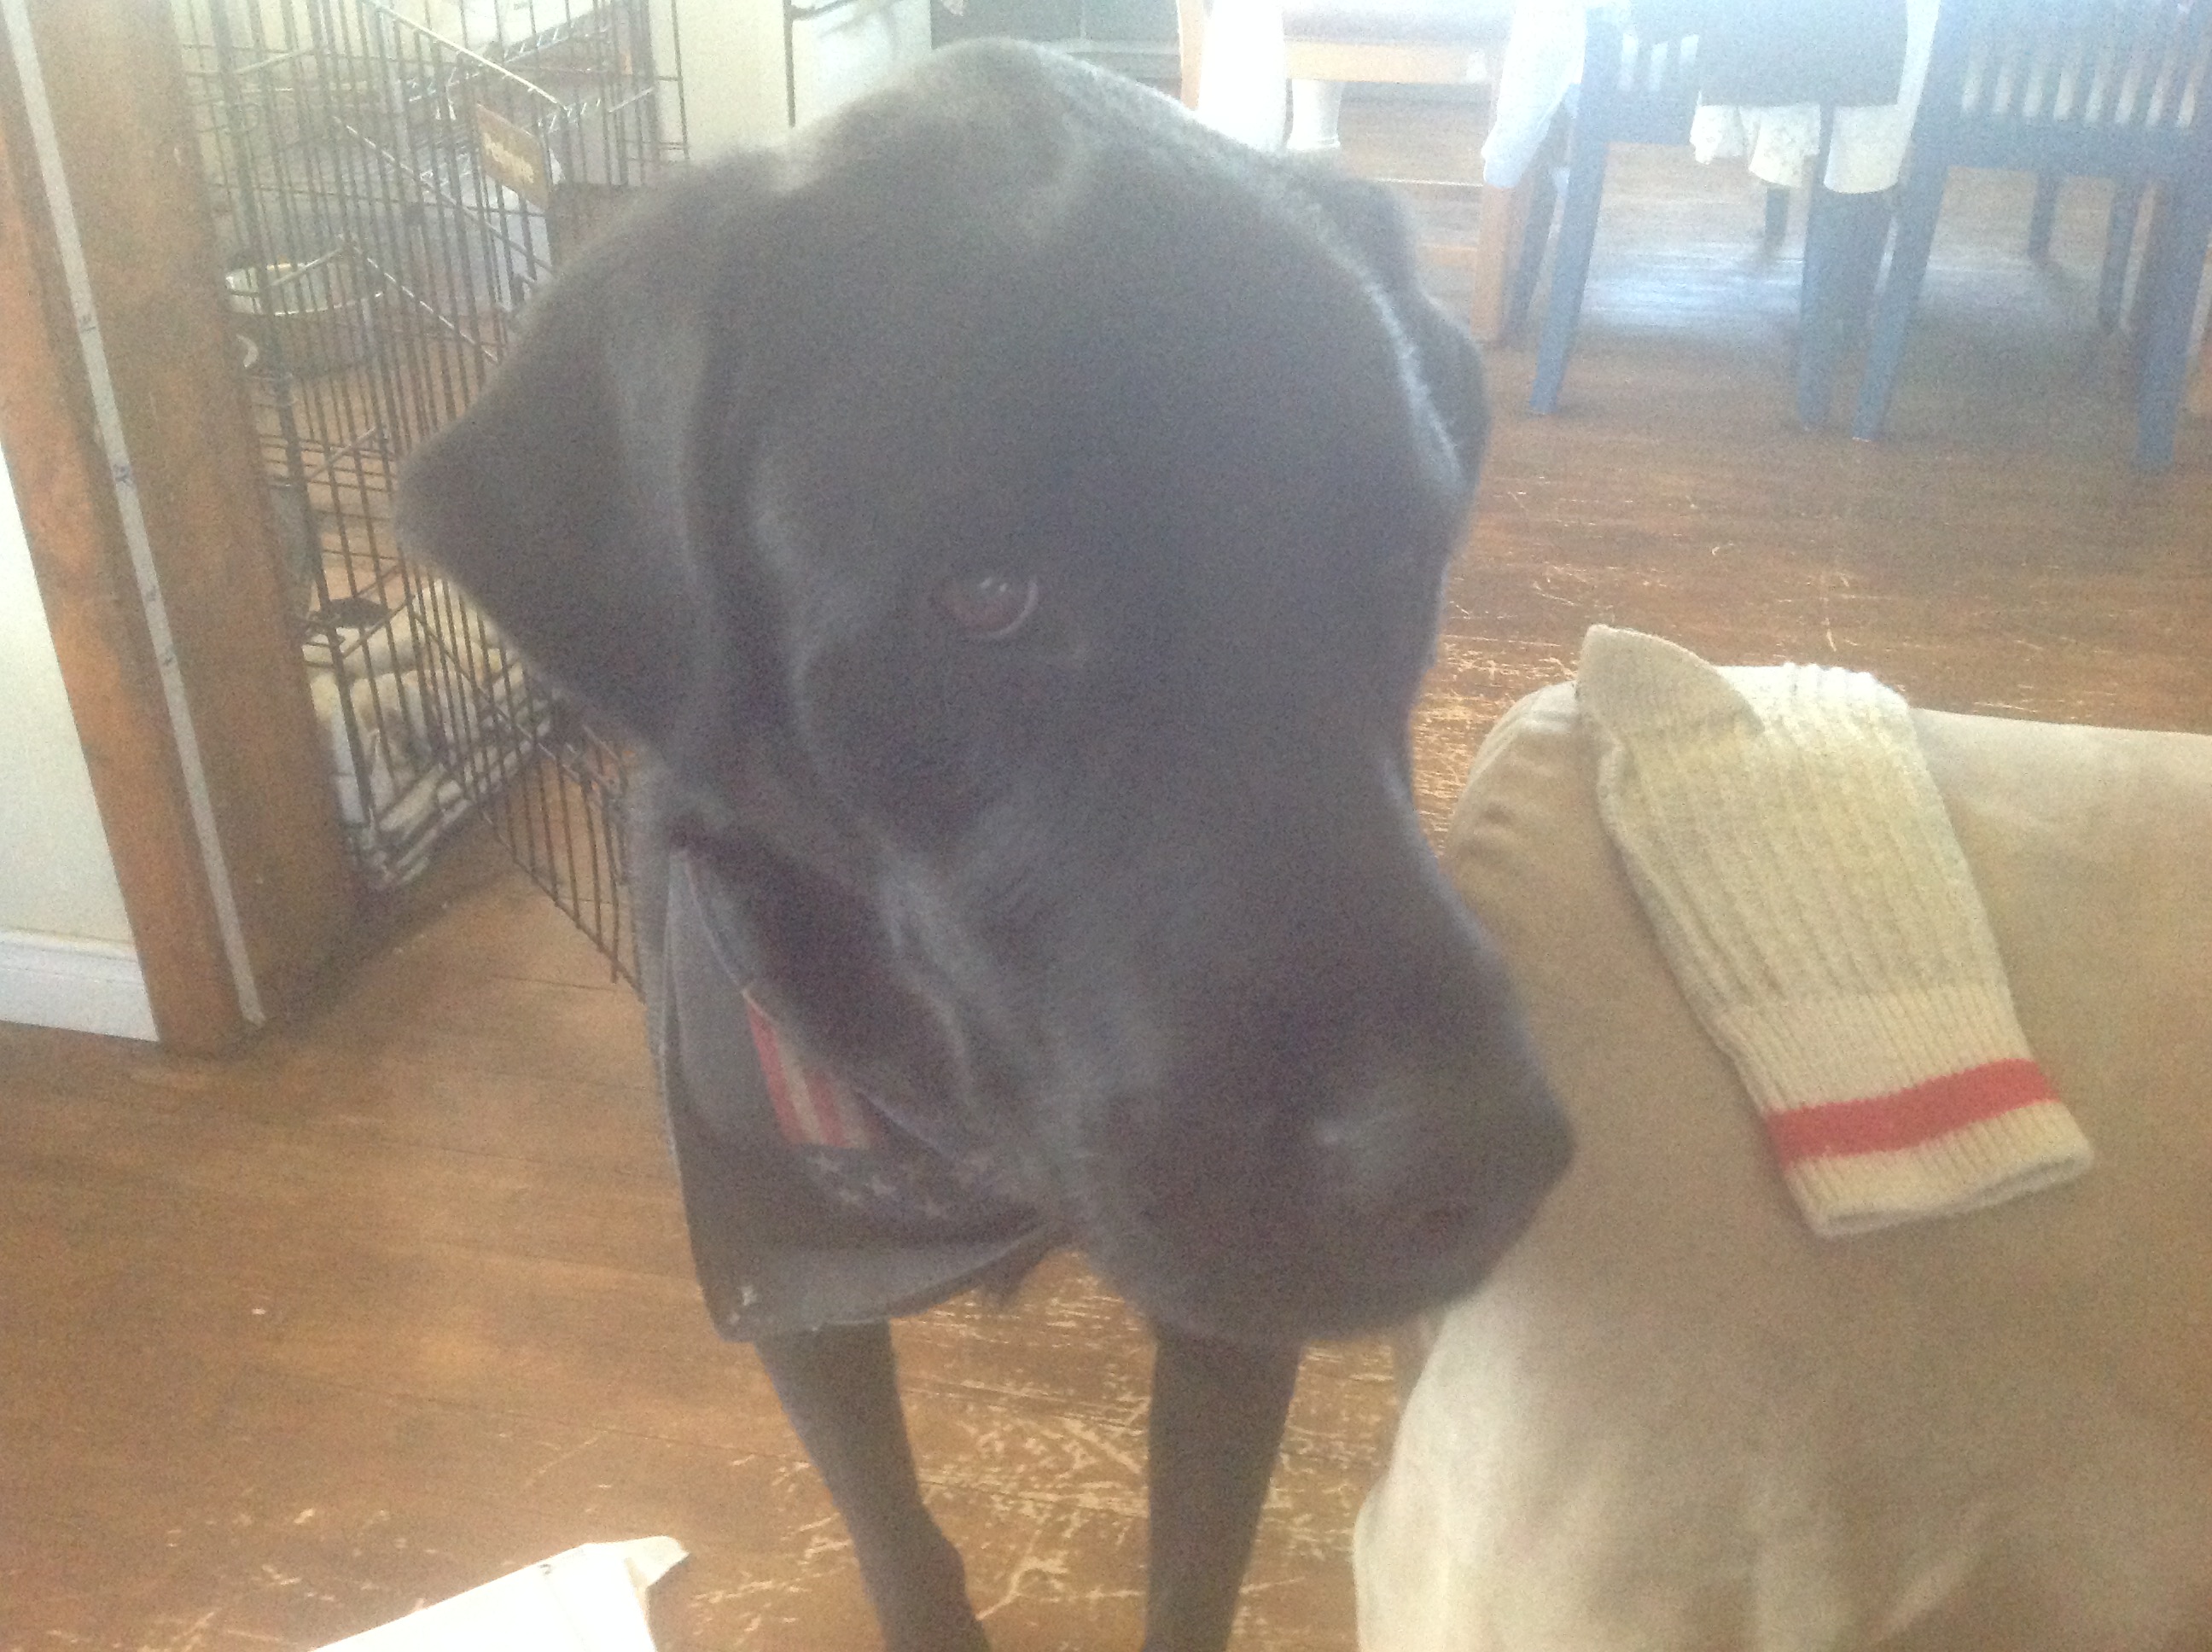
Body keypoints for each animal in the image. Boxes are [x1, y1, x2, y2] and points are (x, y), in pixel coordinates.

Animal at [397, 40, 1571, 1651]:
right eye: (987, 597)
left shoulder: (1229, 1333)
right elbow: (900, 1541)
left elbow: (1192, 1575)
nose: (1478, 1166)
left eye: (1399, 559)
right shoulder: (795, 1286)